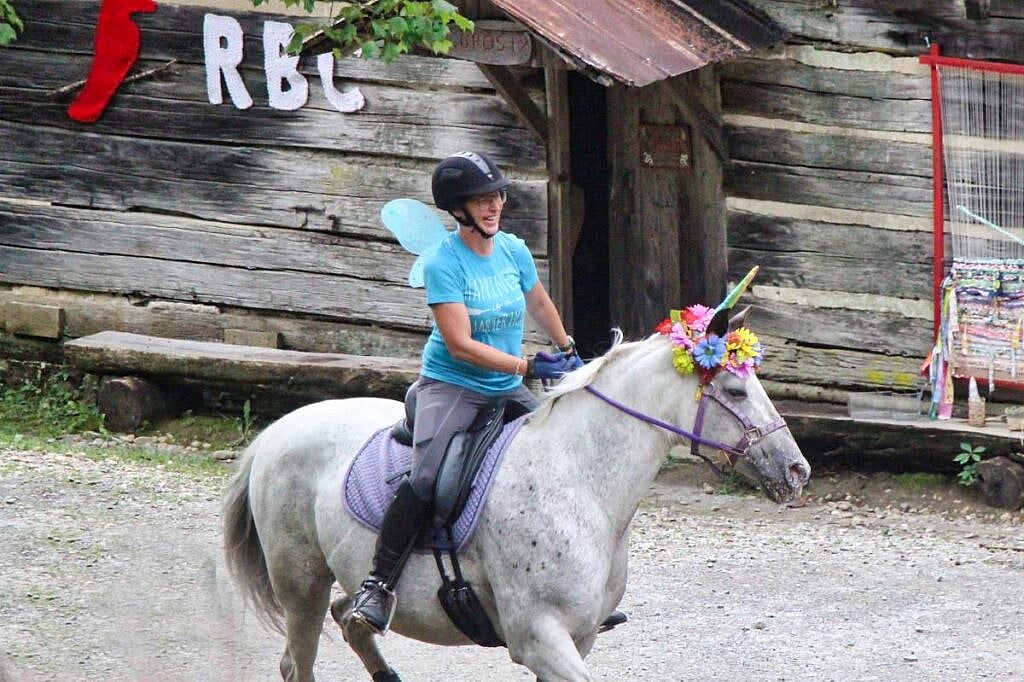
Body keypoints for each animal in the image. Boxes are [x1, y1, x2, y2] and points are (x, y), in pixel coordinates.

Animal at [222, 327, 811, 682]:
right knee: (300, 659)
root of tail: (279, 429)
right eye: (734, 392)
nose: (796, 470)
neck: (580, 480)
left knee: (351, 617)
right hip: (301, 584)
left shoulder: (578, 637)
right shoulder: (540, 637)